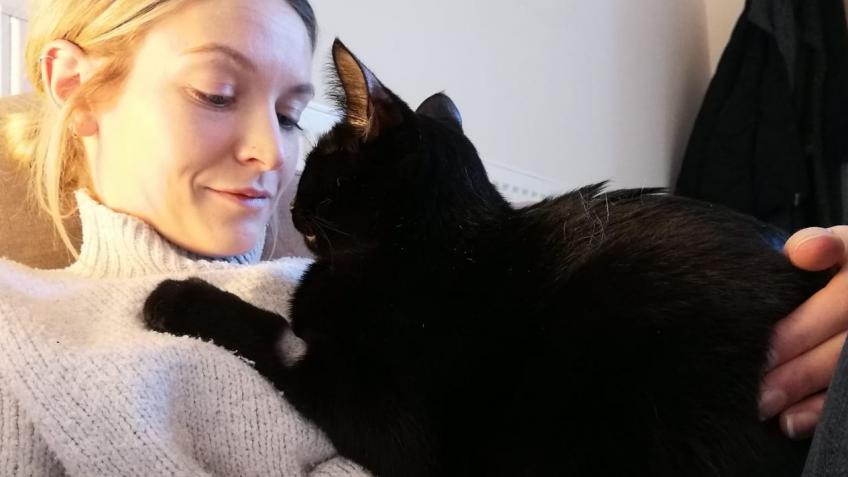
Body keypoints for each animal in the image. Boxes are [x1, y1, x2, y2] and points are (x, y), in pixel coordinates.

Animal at [143, 39, 830, 477]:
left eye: (316, 161)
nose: (291, 199)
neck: (434, 247)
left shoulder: (382, 415)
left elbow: (276, 335)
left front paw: (177, 298)